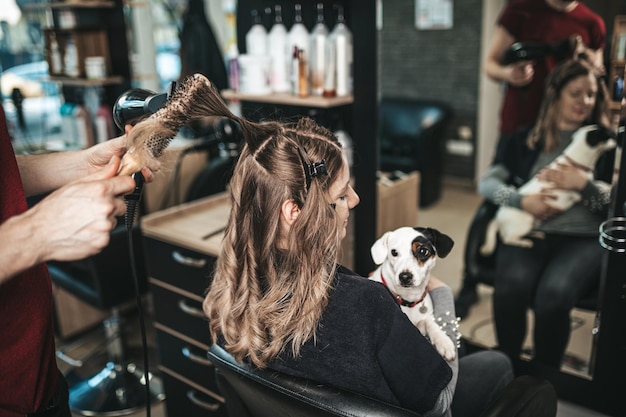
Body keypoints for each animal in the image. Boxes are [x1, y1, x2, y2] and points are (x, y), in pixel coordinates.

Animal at [368, 226, 456, 360]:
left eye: (423, 251)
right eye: (394, 252)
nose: (404, 277)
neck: (407, 299)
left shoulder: (425, 318)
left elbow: (431, 324)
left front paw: (443, 341)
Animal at [478, 123, 616, 254]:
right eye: (608, 134)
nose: (616, 137)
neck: (576, 162)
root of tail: (497, 219)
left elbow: (597, 182)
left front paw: (608, 186)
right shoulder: (577, 191)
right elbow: (596, 183)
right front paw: (607, 188)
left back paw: (536, 234)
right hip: (525, 223)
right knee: (507, 239)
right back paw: (524, 242)